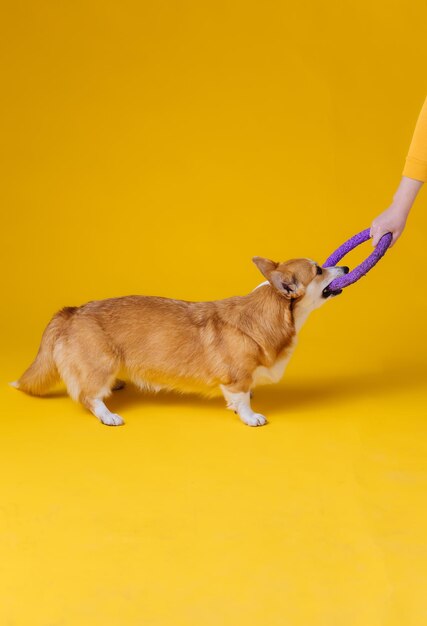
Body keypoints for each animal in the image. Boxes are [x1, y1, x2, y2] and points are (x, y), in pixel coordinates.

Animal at [11, 255, 350, 424]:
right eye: (319, 270)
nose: (346, 266)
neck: (269, 312)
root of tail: (71, 312)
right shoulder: (237, 377)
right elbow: (241, 398)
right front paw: (250, 416)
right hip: (101, 363)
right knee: (88, 396)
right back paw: (109, 415)